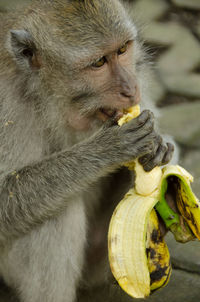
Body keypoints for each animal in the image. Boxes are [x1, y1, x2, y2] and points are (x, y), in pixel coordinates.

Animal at [0, 0, 174, 302]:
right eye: (99, 63)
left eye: (122, 49)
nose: (130, 89)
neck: (45, 98)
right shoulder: (6, 103)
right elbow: (4, 196)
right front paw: (108, 148)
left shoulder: (138, 69)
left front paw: (159, 149)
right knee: (55, 215)